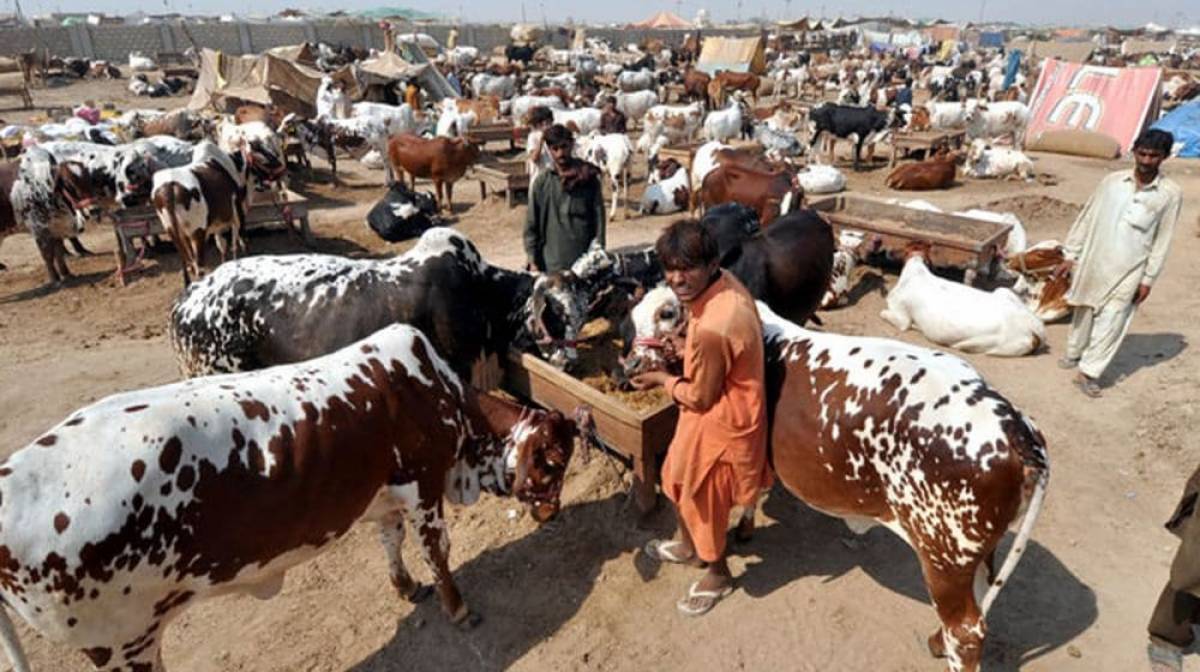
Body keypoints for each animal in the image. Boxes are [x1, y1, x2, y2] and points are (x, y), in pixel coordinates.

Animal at [0, 324, 595, 667]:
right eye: (553, 459)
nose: (553, 511)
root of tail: (10, 478)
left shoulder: (385, 497)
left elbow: (392, 542)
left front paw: (406, 587)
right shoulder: (425, 487)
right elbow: (438, 552)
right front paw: (458, 607)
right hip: (123, 641)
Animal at [619, 294, 1051, 672]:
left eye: (667, 314)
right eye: (634, 315)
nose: (631, 365)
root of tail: (1015, 426)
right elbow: (751, 491)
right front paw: (740, 528)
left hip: (943, 555)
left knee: (966, 631)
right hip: (972, 553)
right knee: (976, 602)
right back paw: (935, 641)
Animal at [878, 241, 1046, 357]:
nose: (888, 251)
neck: (917, 269)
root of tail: (1035, 332)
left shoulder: (901, 317)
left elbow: (885, 314)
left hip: (987, 344)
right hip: (1003, 291)